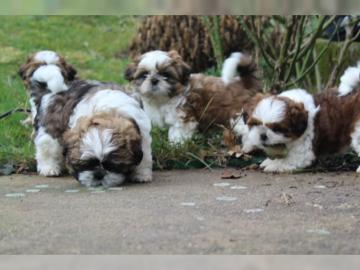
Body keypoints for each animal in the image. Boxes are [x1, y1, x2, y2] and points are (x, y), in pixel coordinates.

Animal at [125, 50, 260, 143]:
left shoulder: (183, 116)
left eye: (166, 75)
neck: (163, 100)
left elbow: (178, 133)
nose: (154, 80)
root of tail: (243, 83)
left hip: (238, 114)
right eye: (144, 75)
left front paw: (175, 146)